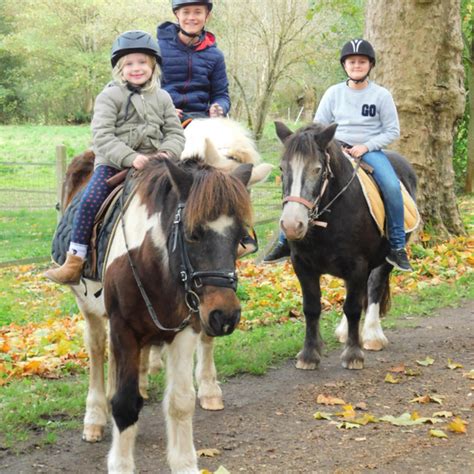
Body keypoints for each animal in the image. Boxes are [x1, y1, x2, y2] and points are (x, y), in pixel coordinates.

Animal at [276, 121, 416, 370]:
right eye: (283, 169)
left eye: (317, 169)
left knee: (374, 287)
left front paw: (353, 355)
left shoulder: (357, 265)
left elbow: (352, 307)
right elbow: (311, 308)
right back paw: (344, 332)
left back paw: (372, 335)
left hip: (385, 259)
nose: (292, 225)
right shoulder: (302, 265)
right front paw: (309, 355)